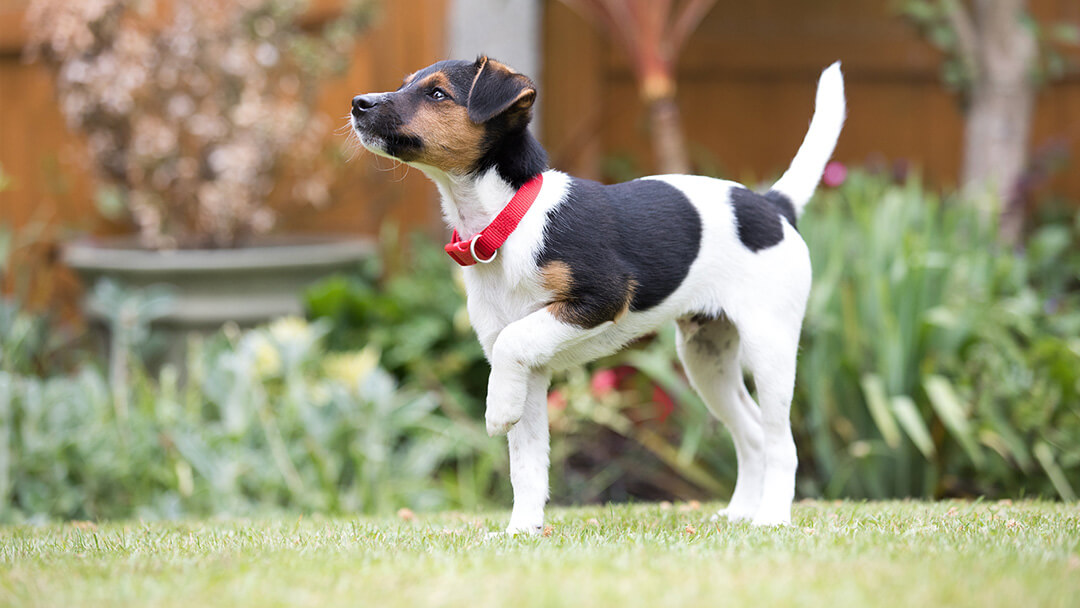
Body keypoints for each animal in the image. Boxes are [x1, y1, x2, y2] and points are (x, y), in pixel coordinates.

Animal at [352, 57, 842, 533]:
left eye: (437, 93)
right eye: (407, 83)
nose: (359, 103)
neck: (510, 221)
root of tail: (773, 206)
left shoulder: (602, 297)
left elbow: (514, 343)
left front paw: (496, 410)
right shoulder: (531, 373)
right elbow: (527, 465)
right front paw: (522, 531)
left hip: (769, 345)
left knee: (781, 442)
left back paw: (772, 518)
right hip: (707, 359)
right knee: (753, 433)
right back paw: (741, 513)